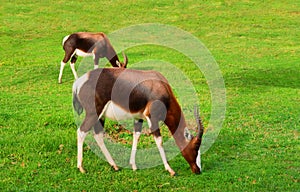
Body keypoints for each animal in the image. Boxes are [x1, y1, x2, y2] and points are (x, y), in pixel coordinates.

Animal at [72, 67, 204, 176]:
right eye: (195, 147)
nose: (198, 170)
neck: (160, 84)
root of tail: (79, 82)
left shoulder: (139, 118)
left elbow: (136, 136)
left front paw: (134, 166)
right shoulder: (152, 117)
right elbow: (159, 141)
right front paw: (170, 170)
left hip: (101, 116)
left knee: (97, 134)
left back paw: (114, 166)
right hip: (93, 114)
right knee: (81, 131)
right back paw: (81, 168)